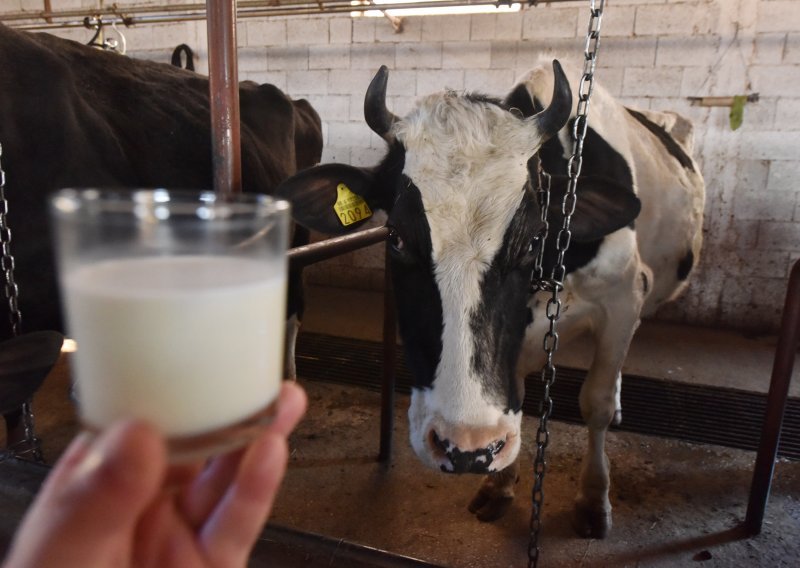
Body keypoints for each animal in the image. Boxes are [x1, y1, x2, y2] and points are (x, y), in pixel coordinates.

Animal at [278, 60, 704, 540]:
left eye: (533, 238)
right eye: (396, 237)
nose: (465, 448)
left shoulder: (624, 297)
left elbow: (593, 402)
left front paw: (594, 499)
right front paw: (499, 485)